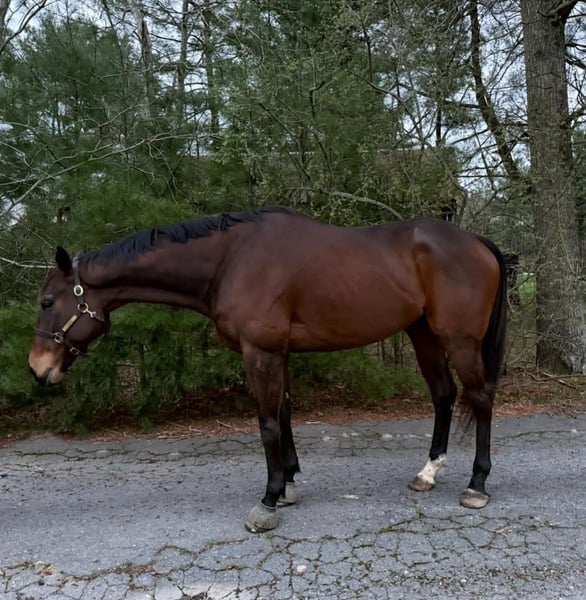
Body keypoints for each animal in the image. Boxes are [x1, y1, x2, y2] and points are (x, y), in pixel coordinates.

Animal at [28, 206, 507, 533]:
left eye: (48, 301)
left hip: (459, 340)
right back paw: (428, 473)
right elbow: (284, 414)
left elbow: (267, 424)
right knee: (444, 395)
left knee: (480, 397)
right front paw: (290, 484)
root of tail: (477, 242)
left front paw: (269, 499)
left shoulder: (259, 353)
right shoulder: (279, 353)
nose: (37, 368)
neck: (230, 260)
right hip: (424, 334)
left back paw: (477, 485)